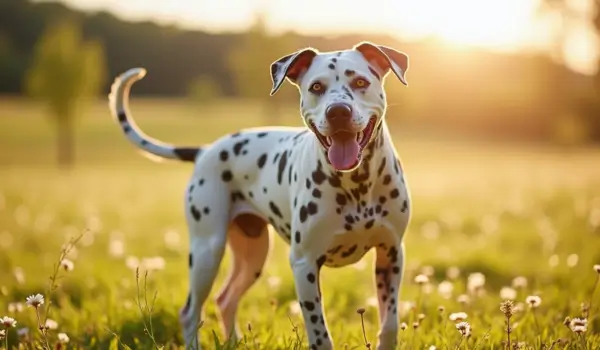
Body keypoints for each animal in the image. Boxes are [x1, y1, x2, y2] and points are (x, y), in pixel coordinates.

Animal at [108, 41, 410, 350]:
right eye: (316, 87)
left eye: (360, 82)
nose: (338, 111)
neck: (357, 184)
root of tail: (205, 151)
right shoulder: (304, 264)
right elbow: (320, 335)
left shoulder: (391, 255)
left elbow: (390, 324)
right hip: (207, 251)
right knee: (190, 312)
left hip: (253, 254)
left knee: (225, 299)